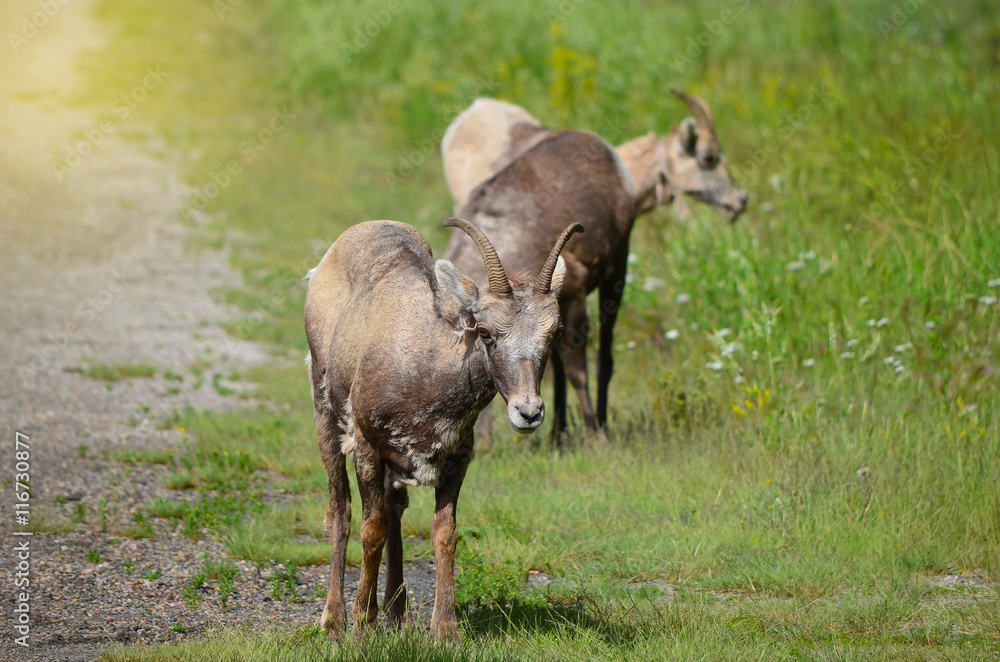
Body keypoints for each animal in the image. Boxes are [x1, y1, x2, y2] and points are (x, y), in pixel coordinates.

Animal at [304, 217, 582, 640]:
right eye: (484, 331)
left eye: (556, 332)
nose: (529, 412)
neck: (424, 368)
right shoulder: (368, 448)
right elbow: (371, 529)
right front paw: (362, 623)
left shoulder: (455, 460)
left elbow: (444, 532)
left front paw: (445, 629)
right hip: (327, 419)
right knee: (341, 509)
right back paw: (335, 619)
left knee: (395, 510)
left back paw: (398, 614)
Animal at [441, 92, 747, 446]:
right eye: (709, 157)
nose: (740, 201)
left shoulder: (570, 303)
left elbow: (576, 370)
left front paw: (595, 437)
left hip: (616, 273)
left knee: (602, 355)